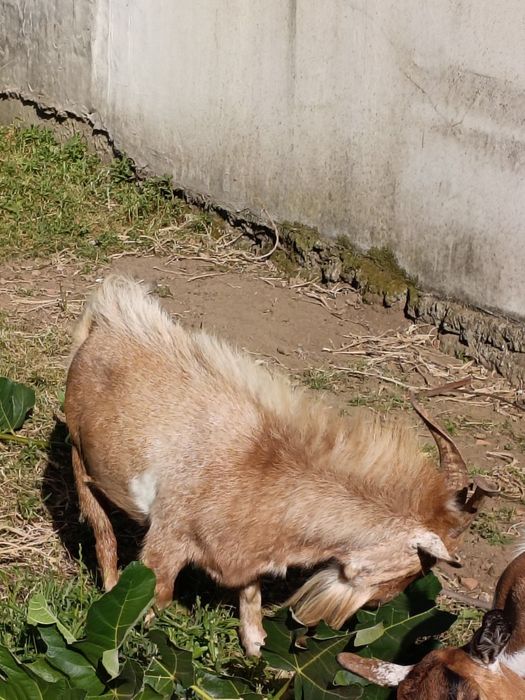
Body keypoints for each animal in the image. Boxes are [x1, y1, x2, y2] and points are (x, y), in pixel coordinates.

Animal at [65, 275, 492, 655]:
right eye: (416, 566)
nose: (377, 604)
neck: (262, 470)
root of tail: (103, 318)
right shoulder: (166, 543)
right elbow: (154, 602)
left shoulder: (247, 558)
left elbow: (251, 604)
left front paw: (258, 653)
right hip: (79, 452)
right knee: (102, 532)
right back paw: (109, 587)